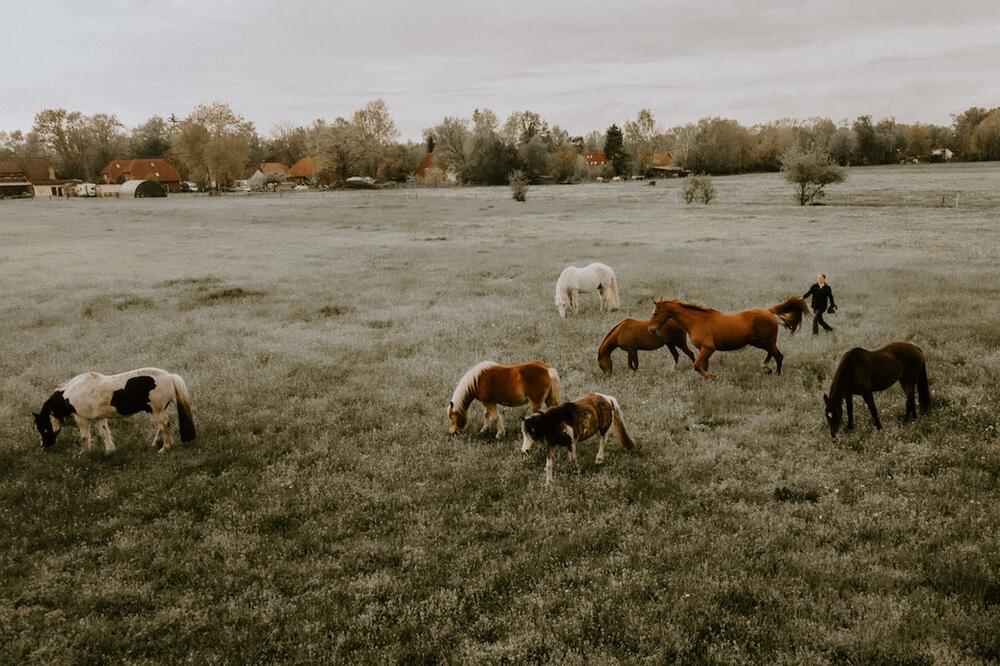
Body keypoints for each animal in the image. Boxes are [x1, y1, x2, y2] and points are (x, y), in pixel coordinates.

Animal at [32, 366, 195, 454]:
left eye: (43, 428)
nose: (44, 447)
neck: (72, 394)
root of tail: (170, 376)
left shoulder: (83, 419)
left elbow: (84, 437)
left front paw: (83, 453)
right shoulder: (99, 418)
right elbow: (104, 434)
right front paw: (110, 450)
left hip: (157, 410)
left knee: (165, 425)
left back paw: (165, 448)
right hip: (156, 411)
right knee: (161, 427)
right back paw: (155, 444)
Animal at [648, 296, 812, 378]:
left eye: (655, 313)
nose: (650, 330)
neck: (697, 321)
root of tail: (769, 311)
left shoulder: (708, 348)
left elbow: (697, 365)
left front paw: (712, 377)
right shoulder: (704, 350)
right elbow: (702, 365)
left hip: (767, 342)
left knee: (778, 355)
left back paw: (776, 374)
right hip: (760, 343)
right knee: (773, 354)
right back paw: (767, 368)